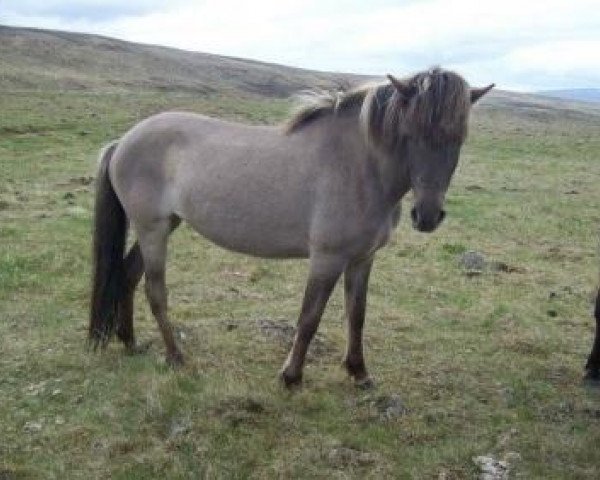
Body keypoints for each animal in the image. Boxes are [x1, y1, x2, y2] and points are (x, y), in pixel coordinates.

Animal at [89, 67, 492, 388]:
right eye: (409, 133)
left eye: (459, 138)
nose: (427, 215)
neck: (359, 167)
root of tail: (122, 141)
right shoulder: (327, 259)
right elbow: (309, 318)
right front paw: (292, 376)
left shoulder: (362, 260)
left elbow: (357, 316)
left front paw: (359, 372)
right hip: (152, 229)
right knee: (155, 290)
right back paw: (175, 356)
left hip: (163, 225)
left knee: (128, 275)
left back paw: (130, 343)